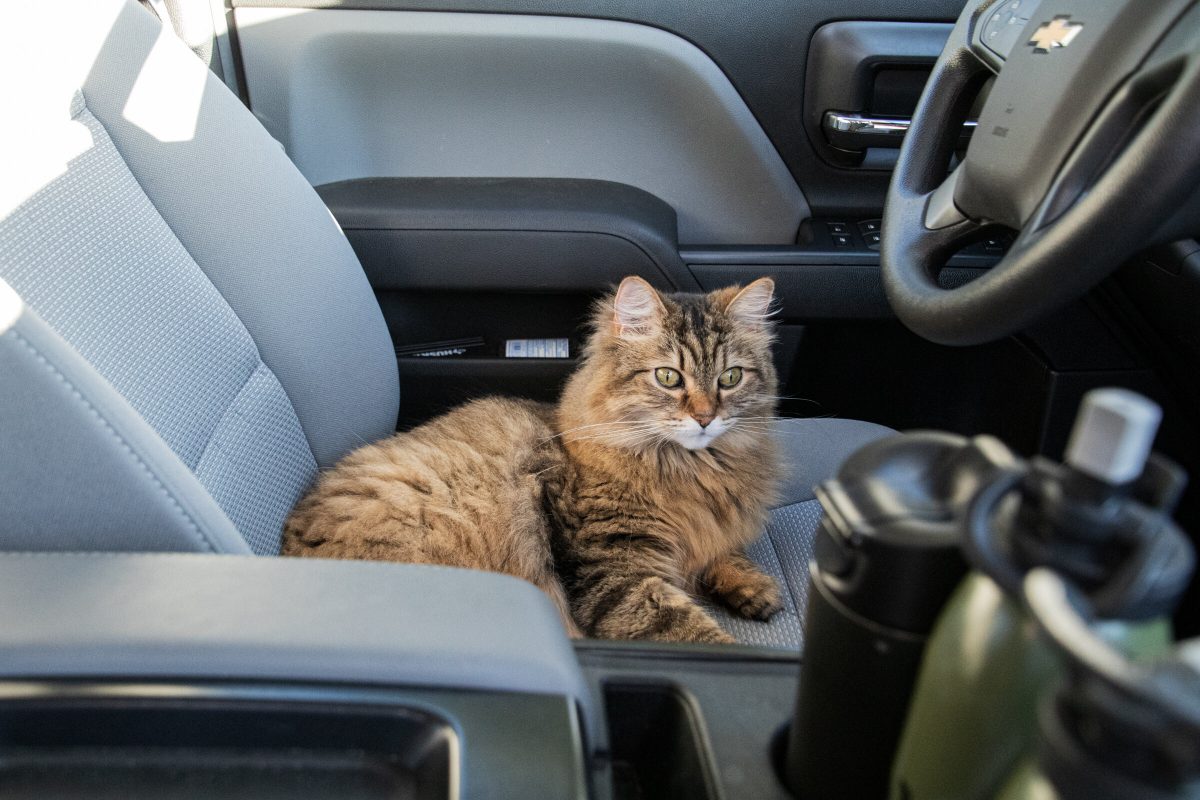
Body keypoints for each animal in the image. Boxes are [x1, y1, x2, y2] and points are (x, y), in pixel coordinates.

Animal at [284, 277, 782, 642]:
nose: (705, 418)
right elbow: (690, 628)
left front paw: (754, 588)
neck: (690, 470)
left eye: (730, 378)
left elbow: (721, 554)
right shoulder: (615, 572)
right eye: (668, 377)